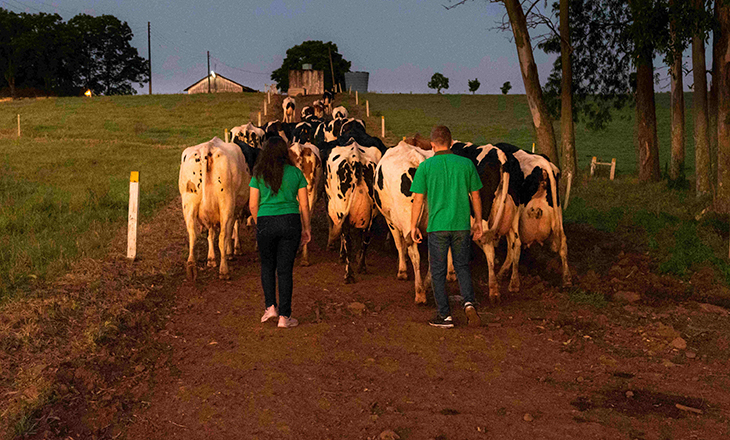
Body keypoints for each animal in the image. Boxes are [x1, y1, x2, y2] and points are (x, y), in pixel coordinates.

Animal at [178, 138, 250, 280]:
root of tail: (207, 148)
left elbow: (210, 234)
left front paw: (211, 259)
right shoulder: (234, 209)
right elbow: (232, 229)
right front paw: (232, 251)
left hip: (188, 203)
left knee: (192, 234)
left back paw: (191, 267)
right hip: (226, 204)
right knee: (222, 236)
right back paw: (224, 270)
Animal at [324, 138, 382, 282]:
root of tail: (357, 158)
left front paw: (341, 256)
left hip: (341, 209)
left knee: (347, 240)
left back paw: (348, 274)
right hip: (373, 213)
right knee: (366, 238)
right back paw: (361, 266)